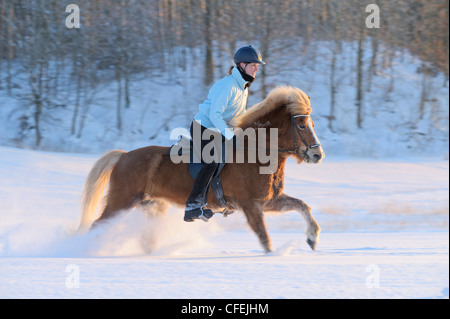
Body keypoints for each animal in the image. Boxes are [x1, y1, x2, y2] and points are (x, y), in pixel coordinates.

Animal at [77, 86, 324, 254]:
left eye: (313, 125)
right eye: (301, 125)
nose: (317, 155)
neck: (255, 151)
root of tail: (124, 156)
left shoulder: (268, 201)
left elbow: (303, 206)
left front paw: (312, 238)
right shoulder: (250, 205)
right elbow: (263, 236)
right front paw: (273, 255)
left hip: (152, 206)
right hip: (121, 202)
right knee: (97, 226)